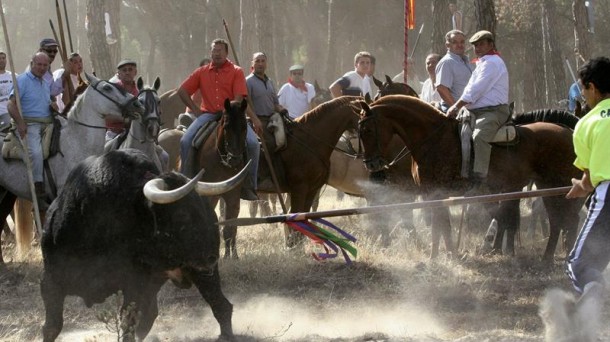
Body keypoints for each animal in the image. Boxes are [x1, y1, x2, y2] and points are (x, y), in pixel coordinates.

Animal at [41, 150, 235, 342]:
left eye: (202, 207)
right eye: (182, 214)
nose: (212, 256)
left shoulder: (134, 284)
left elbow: (128, 323)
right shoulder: (50, 280)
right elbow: (51, 327)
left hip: (202, 274)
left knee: (221, 305)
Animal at [358, 95, 580, 260]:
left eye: (367, 129)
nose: (371, 164)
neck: (433, 138)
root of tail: (569, 132)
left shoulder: (435, 192)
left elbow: (439, 226)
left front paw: (436, 257)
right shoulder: (435, 194)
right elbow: (443, 226)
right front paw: (448, 254)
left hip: (557, 186)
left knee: (567, 220)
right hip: (547, 187)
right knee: (558, 221)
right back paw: (548, 259)